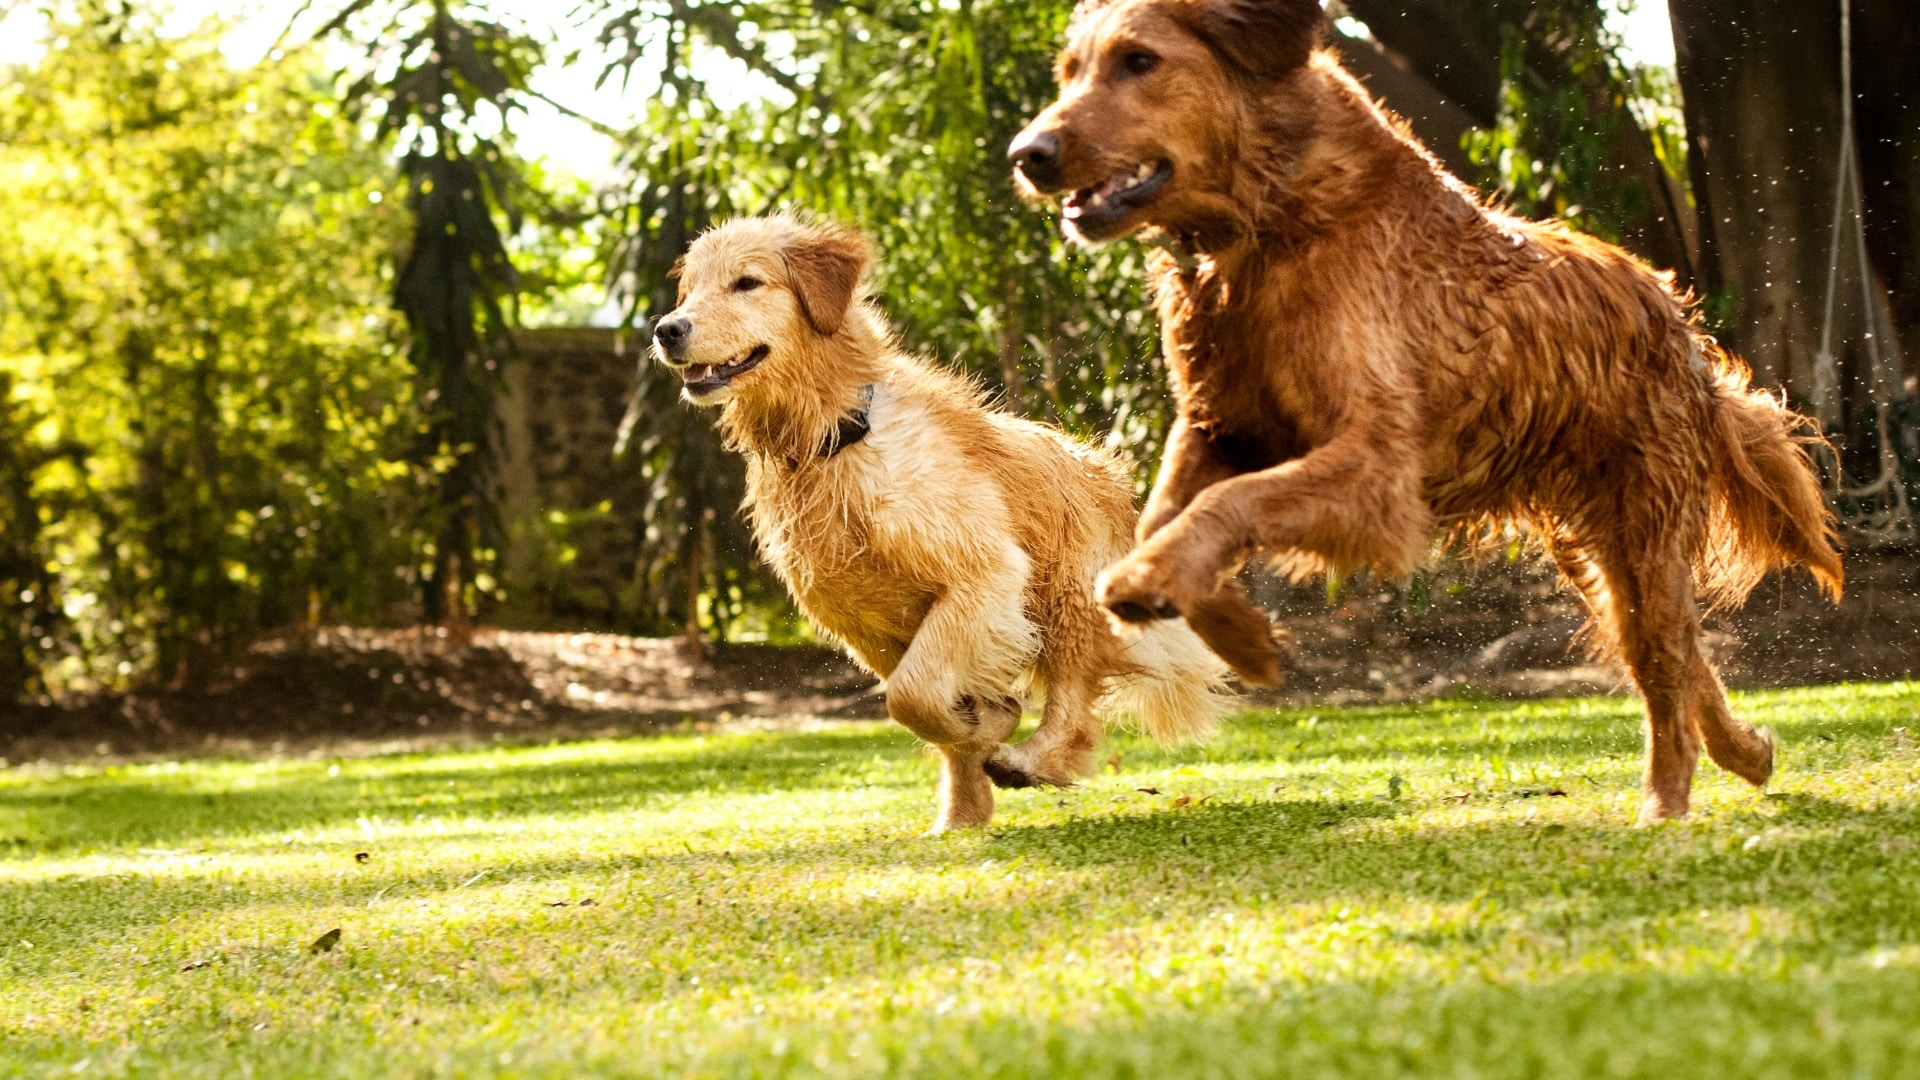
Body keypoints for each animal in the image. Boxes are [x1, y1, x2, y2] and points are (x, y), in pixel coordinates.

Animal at [652, 214, 1236, 826]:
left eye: (747, 283)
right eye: (689, 290)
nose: (667, 329)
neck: (832, 438)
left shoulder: (985, 573)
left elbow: (912, 696)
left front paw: (984, 725)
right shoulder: (865, 625)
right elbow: (920, 707)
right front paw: (969, 786)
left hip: (1072, 593)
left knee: (1073, 704)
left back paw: (1031, 760)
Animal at [1013, 0, 1835, 818]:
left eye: (1139, 60)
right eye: (1070, 71)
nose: (1028, 153)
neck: (1276, 220)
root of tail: (1676, 317)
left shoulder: (1377, 468)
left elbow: (1230, 503)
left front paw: (1153, 586)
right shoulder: (1224, 424)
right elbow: (1166, 515)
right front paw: (1237, 630)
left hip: (1646, 528)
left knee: (1667, 665)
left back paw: (1666, 802)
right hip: (1603, 557)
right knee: (1680, 658)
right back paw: (1746, 751)